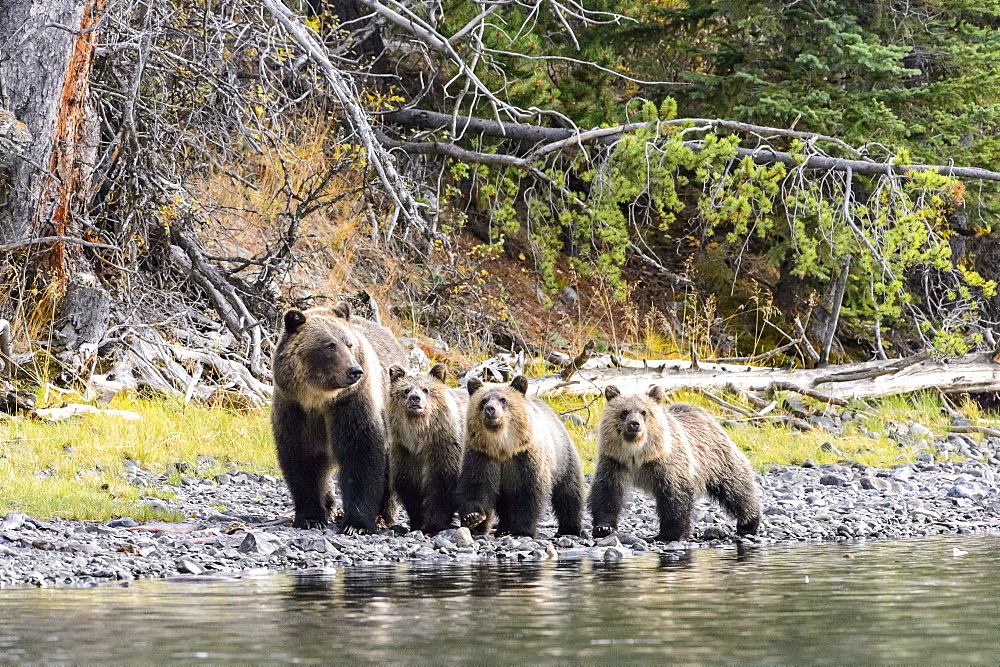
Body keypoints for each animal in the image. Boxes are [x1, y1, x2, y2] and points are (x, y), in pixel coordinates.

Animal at [270, 302, 406, 532]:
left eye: (349, 344)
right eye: (329, 345)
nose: (354, 371)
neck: (319, 399)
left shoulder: (351, 404)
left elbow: (360, 454)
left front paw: (357, 523)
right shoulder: (295, 409)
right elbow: (302, 459)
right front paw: (310, 517)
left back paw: (383, 515)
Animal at [388, 362, 470, 536]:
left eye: (426, 389)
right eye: (406, 390)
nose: (415, 398)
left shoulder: (444, 449)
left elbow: (442, 487)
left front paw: (433, 525)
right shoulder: (405, 453)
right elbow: (409, 489)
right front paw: (417, 523)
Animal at [456, 376, 584, 536]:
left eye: (503, 399)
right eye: (483, 400)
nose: (490, 409)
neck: (502, 447)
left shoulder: (524, 457)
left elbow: (528, 492)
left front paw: (523, 529)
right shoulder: (481, 455)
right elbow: (475, 485)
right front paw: (474, 519)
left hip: (563, 457)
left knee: (569, 493)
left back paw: (570, 528)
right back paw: (503, 528)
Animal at [584, 386, 756, 544]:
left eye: (644, 411)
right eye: (624, 411)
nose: (634, 424)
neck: (637, 455)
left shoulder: (667, 463)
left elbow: (674, 495)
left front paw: (670, 533)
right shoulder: (614, 461)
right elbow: (607, 491)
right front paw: (603, 527)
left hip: (717, 457)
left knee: (736, 486)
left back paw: (748, 522)